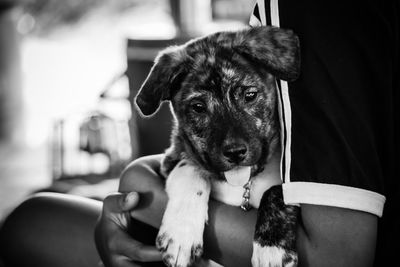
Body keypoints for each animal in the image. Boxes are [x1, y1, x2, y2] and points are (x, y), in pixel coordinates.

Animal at [134, 25, 300, 267]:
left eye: (250, 95)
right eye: (198, 107)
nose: (235, 153)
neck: (242, 184)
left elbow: (278, 189)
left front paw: (271, 249)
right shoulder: (171, 158)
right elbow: (189, 169)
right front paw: (181, 233)